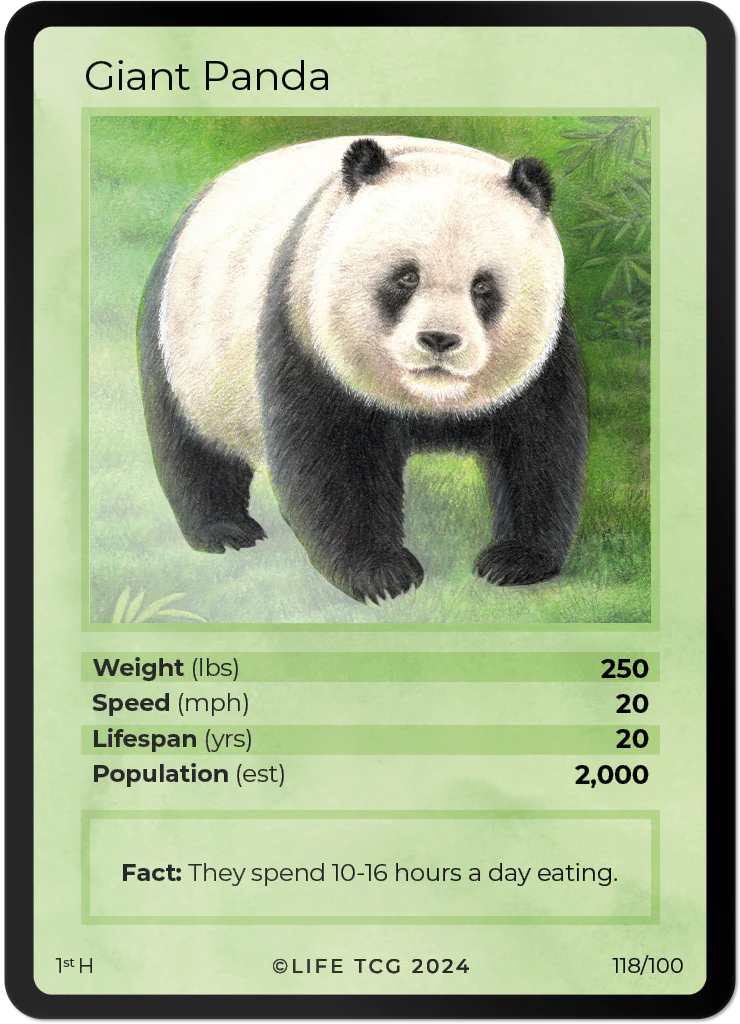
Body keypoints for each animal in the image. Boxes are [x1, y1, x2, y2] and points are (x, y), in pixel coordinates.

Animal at [138, 135, 588, 603]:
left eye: (482, 286)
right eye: (406, 278)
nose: (439, 340)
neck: (431, 403)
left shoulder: (545, 356)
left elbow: (539, 448)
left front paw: (516, 560)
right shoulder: (306, 329)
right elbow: (334, 460)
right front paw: (381, 573)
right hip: (184, 345)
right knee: (190, 446)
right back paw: (224, 531)